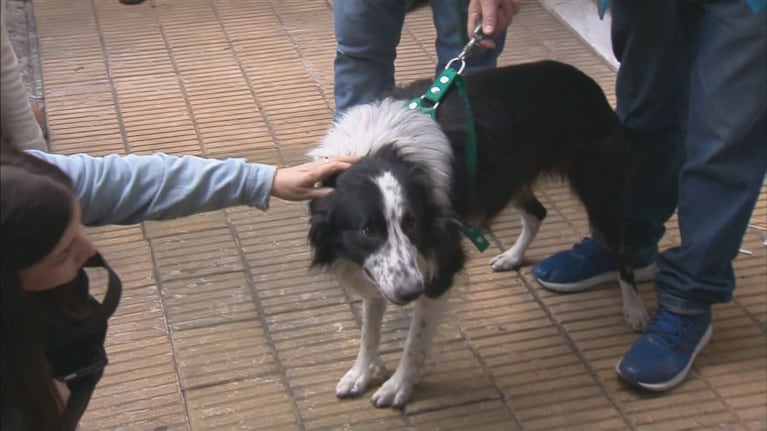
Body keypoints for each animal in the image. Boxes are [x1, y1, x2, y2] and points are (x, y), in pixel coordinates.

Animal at [306, 60, 648, 408]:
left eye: (412, 224)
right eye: (368, 229)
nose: (411, 292)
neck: (381, 150)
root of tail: (586, 81)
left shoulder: (442, 264)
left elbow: (414, 341)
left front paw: (397, 386)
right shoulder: (379, 272)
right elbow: (369, 329)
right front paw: (360, 373)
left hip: (601, 193)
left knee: (623, 253)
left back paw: (635, 310)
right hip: (509, 180)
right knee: (538, 214)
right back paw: (512, 257)